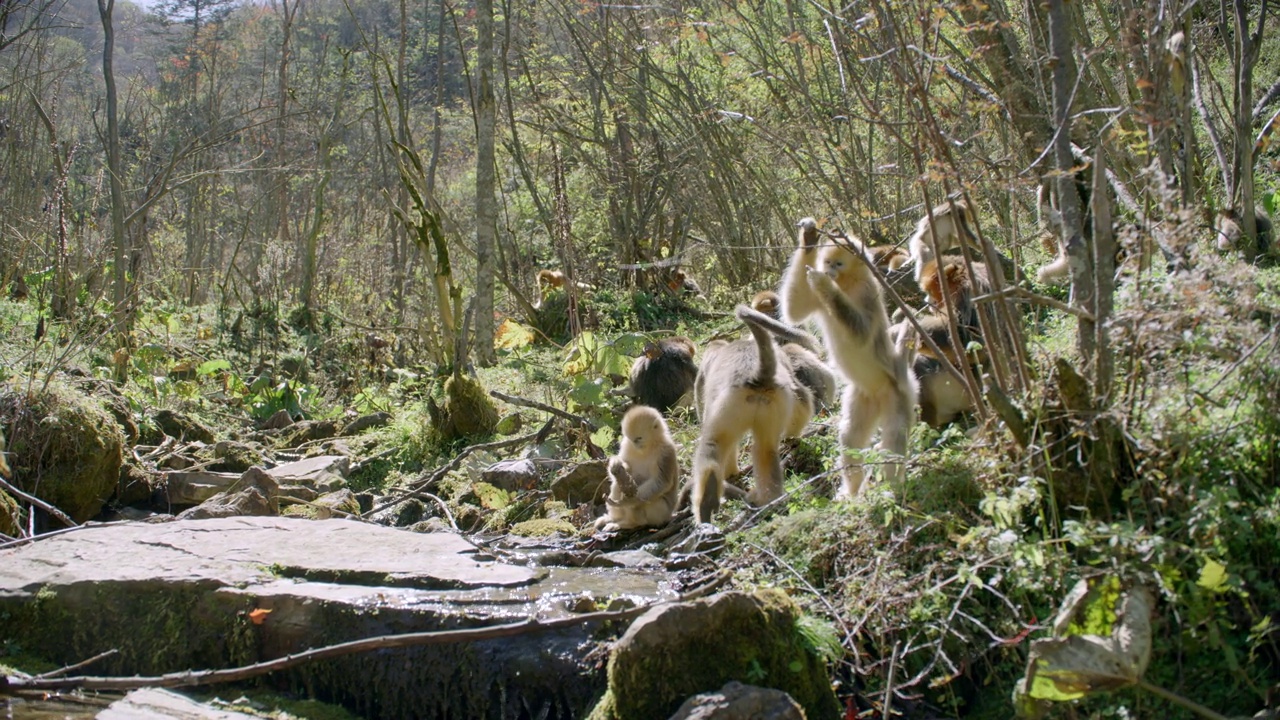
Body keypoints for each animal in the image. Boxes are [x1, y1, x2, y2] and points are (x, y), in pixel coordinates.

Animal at [691, 303, 819, 520]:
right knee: (765, 449)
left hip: (730, 406)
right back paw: (769, 501)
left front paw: (730, 473)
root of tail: (759, 378)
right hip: (774, 402)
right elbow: (802, 400)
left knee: (713, 443)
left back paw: (707, 499)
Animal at [773, 217, 916, 499]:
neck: (847, 283)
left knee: (894, 437)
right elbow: (794, 310)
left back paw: (892, 490)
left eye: (838, 264)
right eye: (828, 262)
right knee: (851, 437)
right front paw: (809, 237)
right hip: (862, 397)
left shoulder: (867, 291)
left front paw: (825, 285)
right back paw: (852, 491)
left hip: (899, 394)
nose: (829, 272)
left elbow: (861, 334)